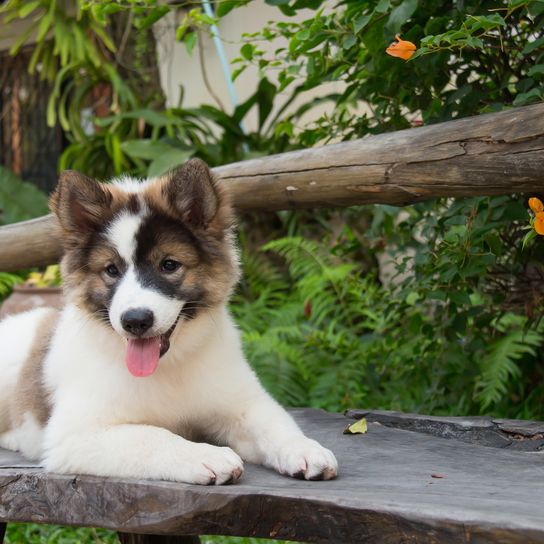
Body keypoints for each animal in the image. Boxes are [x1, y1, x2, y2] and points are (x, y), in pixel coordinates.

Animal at [0, 160, 338, 484]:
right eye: (111, 270)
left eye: (169, 265)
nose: (135, 321)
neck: (168, 366)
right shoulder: (76, 435)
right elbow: (151, 435)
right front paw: (205, 456)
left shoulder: (242, 404)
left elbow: (274, 424)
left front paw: (304, 449)